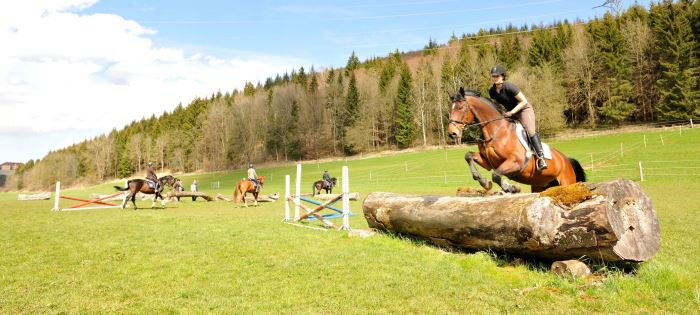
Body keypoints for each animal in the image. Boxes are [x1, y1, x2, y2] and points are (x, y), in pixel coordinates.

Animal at [448, 87, 584, 194]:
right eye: (450, 109)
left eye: (460, 107)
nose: (452, 133)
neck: (496, 131)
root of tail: (566, 160)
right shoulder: (488, 162)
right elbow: (468, 156)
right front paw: (484, 182)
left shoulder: (517, 162)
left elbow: (496, 175)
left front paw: (510, 188)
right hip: (539, 186)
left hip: (567, 182)